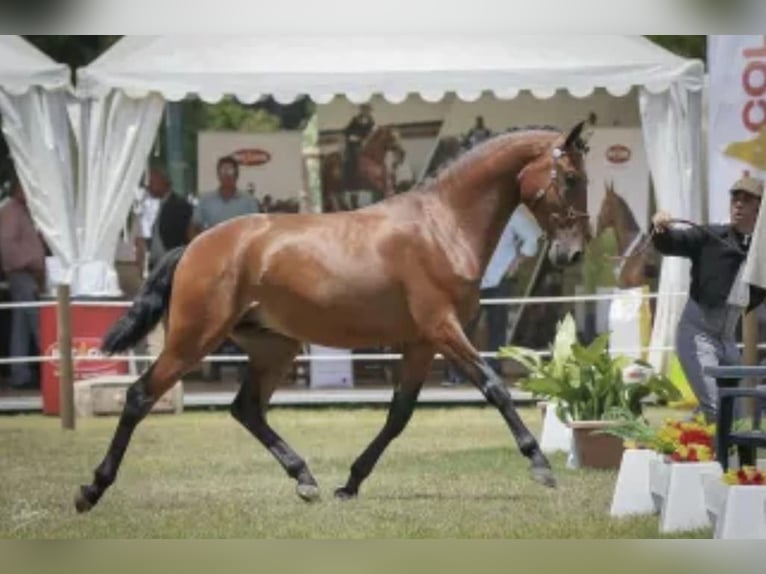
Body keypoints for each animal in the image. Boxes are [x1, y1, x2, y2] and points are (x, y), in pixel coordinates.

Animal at [73, 120, 592, 512]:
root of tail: (196, 245)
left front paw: (351, 482)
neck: (442, 226)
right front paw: (540, 465)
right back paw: (92, 489)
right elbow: (495, 387)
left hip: (274, 348)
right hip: (194, 339)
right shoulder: (443, 330)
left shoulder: (422, 343)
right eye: (570, 178)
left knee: (246, 409)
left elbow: (399, 415)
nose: (572, 253)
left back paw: (305, 478)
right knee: (140, 396)